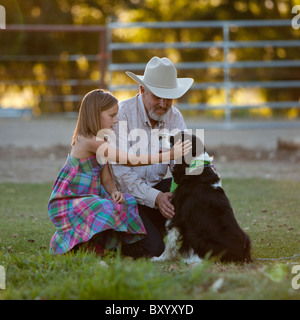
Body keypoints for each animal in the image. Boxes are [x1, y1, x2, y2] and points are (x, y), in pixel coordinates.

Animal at [152, 133, 251, 264]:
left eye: (176, 138)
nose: (159, 135)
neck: (195, 164)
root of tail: (243, 254)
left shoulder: (177, 214)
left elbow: (171, 239)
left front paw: (160, 258)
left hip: (199, 237)